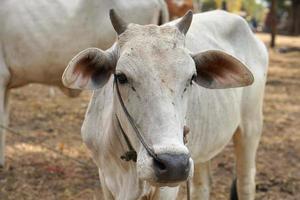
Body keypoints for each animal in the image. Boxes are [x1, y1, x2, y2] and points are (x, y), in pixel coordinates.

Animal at [62, 9, 268, 200]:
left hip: (250, 127)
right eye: (121, 77)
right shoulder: (105, 178)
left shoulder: (167, 189)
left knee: (245, 182)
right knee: (202, 186)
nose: (174, 165)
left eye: (192, 78)